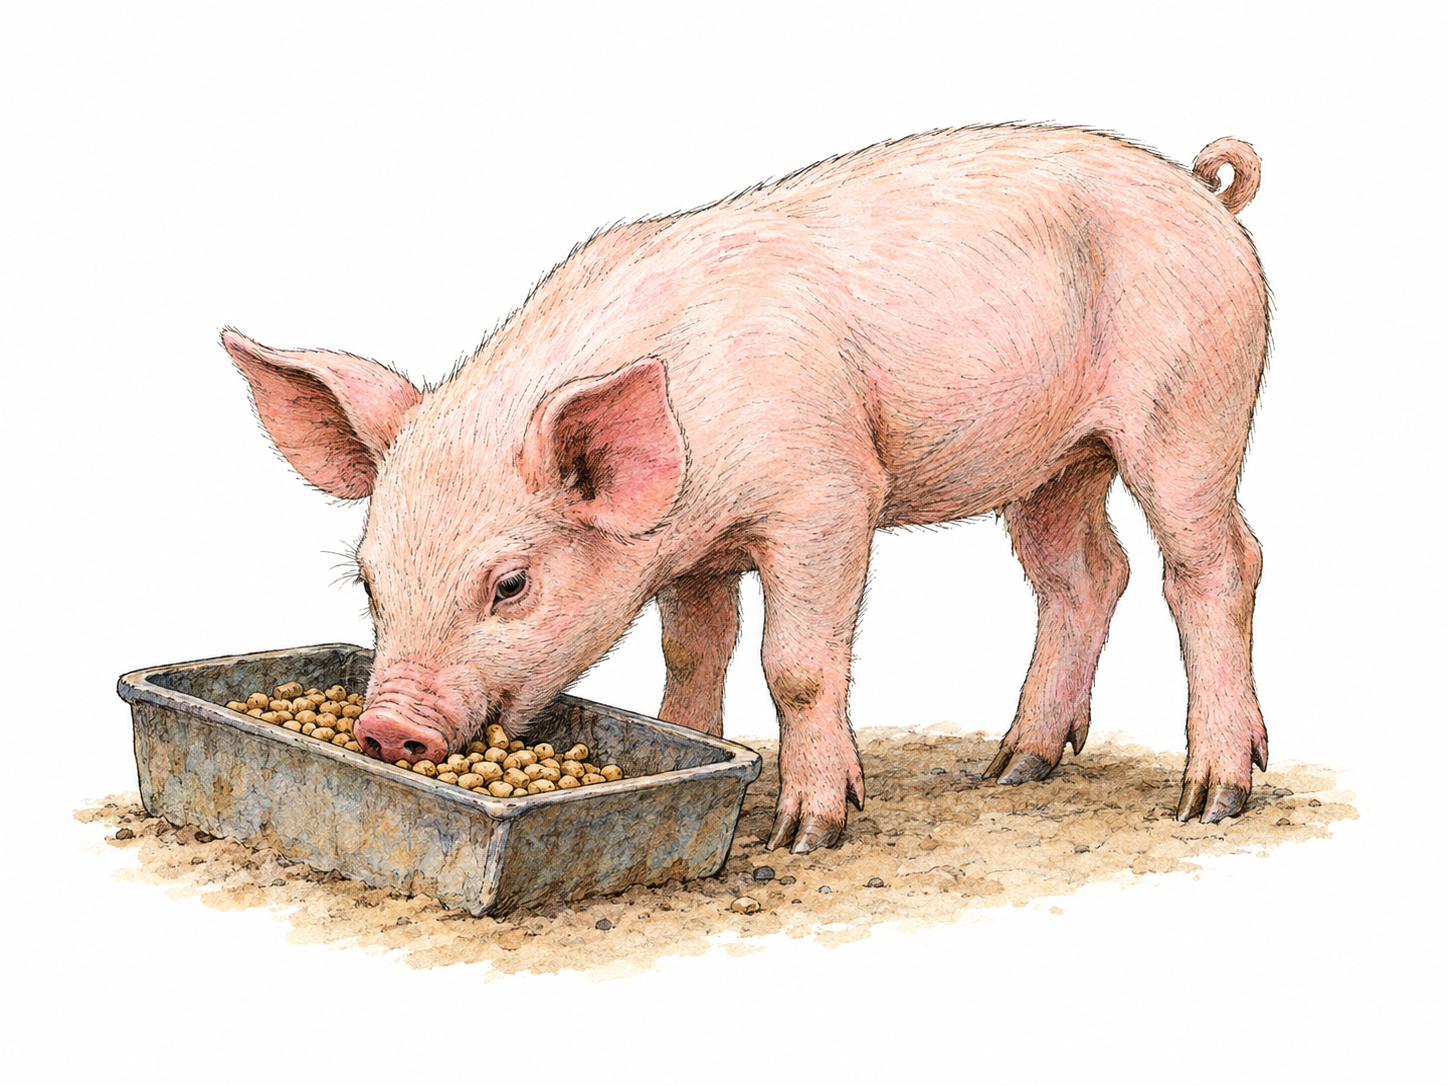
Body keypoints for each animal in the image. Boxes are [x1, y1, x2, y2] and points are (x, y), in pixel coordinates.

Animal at [224, 124, 1270, 853]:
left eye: (510, 583)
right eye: (368, 580)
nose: (385, 727)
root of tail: (1203, 192)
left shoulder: (830, 495)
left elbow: (795, 663)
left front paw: (807, 831)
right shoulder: (695, 554)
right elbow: (692, 657)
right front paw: (693, 755)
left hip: (1192, 407)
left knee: (1214, 564)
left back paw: (1213, 798)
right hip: (1055, 460)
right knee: (1085, 574)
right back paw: (1011, 771)